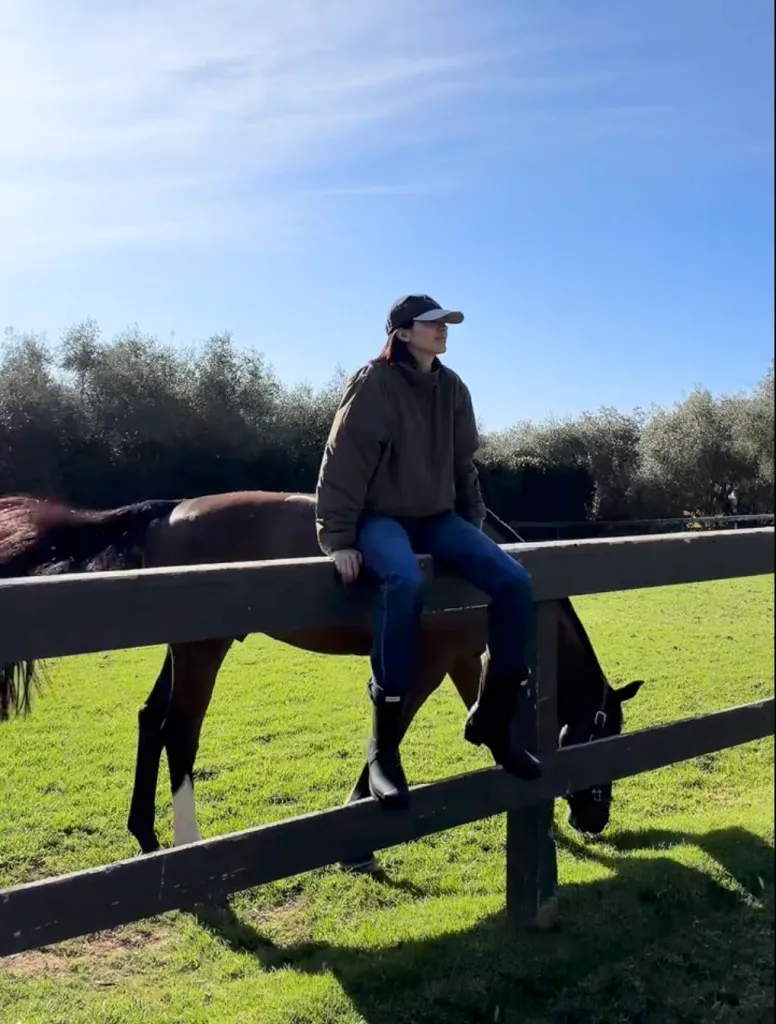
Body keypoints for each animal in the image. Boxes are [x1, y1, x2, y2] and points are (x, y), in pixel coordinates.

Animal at [0, 490, 644, 870]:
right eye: (601, 733)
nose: (595, 819)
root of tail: (169, 508)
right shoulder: (425, 666)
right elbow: (391, 732)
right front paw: (360, 832)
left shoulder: (464, 662)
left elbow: (487, 721)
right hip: (202, 650)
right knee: (179, 732)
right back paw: (189, 845)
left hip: (182, 649)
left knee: (150, 719)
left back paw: (146, 836)